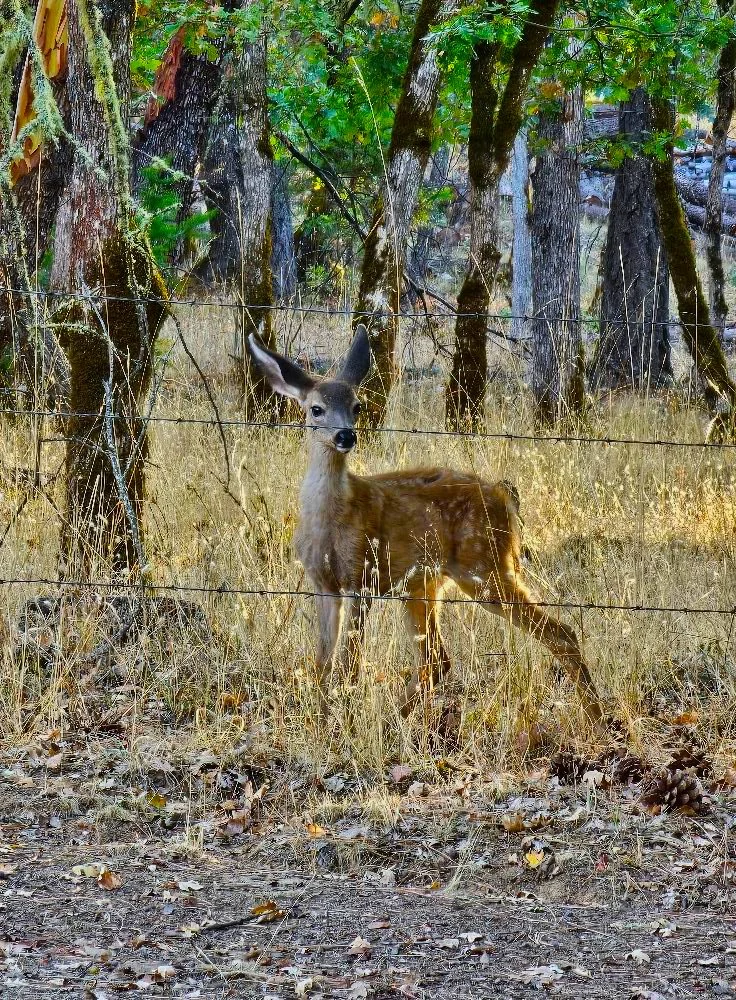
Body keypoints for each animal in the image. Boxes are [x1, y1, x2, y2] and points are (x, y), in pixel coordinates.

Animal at [249, 326, 603, 726]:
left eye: (357, 406)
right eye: (316, 409)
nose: (345, 436)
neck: (330, 518)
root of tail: (504, 496)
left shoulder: (361, 576)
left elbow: (350, 664)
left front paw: (346, 720)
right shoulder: (324, 584)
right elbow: (322, 663)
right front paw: (323, 720)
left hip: (484, 567)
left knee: (562, 633)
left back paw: (595, 719)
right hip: (424, 584)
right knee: (437, 660)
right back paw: (395, 719)